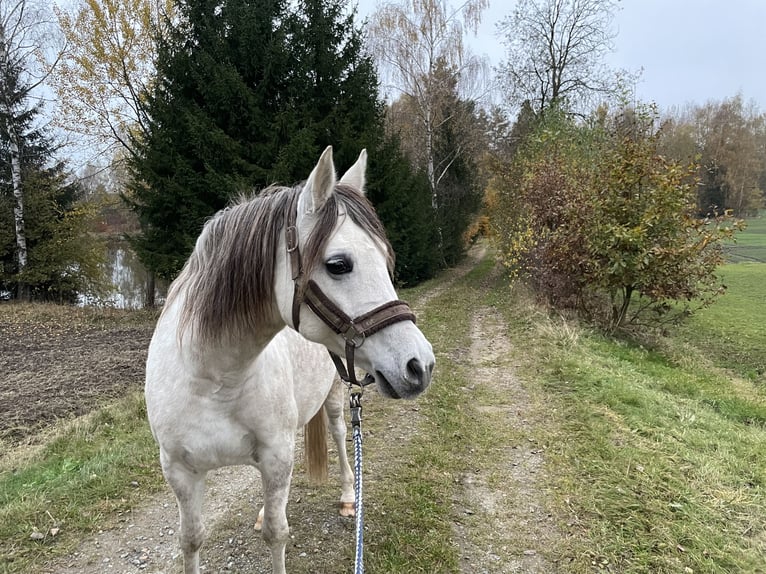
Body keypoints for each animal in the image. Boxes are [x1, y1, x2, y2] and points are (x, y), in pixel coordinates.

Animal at [143, 148, 432, 574]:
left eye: (385, 259)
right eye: (338, 264)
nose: (420, 365)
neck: (213, 378)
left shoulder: (276, 455)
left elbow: (276, 534)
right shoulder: (180, 471)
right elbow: (191, 540)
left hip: (333, 398)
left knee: (340, 435)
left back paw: (348, 496)